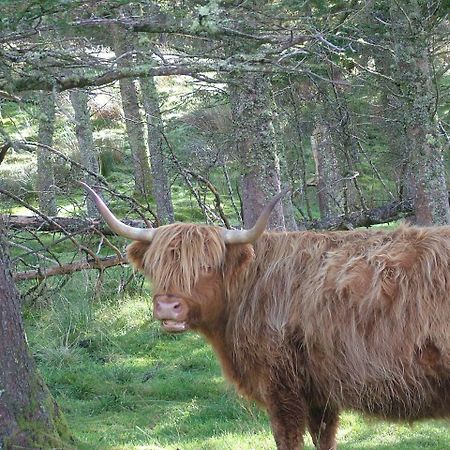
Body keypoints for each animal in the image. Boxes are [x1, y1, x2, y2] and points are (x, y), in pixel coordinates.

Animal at [81, 184, 450, 450]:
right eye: (156, 265)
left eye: (206, 266)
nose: (168, 307)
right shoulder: (319, 392)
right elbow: (324, 439)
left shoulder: (281, 389)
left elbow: (289, 440)